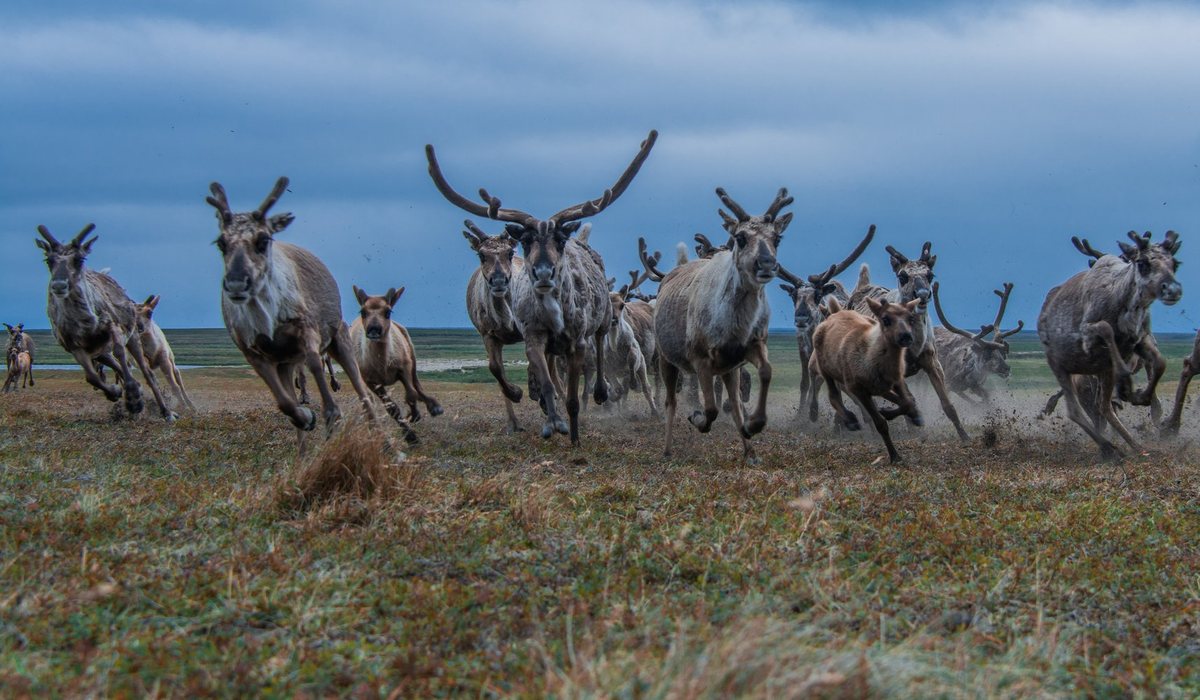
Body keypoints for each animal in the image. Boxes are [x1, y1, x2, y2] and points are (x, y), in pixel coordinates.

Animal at [811, 297, 921, 465]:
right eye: (885, 319)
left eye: (911, 317)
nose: (906, 336)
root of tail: (835, 312)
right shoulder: (858, 388)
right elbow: (880, 423)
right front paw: (895, 456)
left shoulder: (897, 380)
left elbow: (907, 402)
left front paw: (890, 412)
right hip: (826, 370)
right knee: (833, 395)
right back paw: (851, 420)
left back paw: (913, 414)